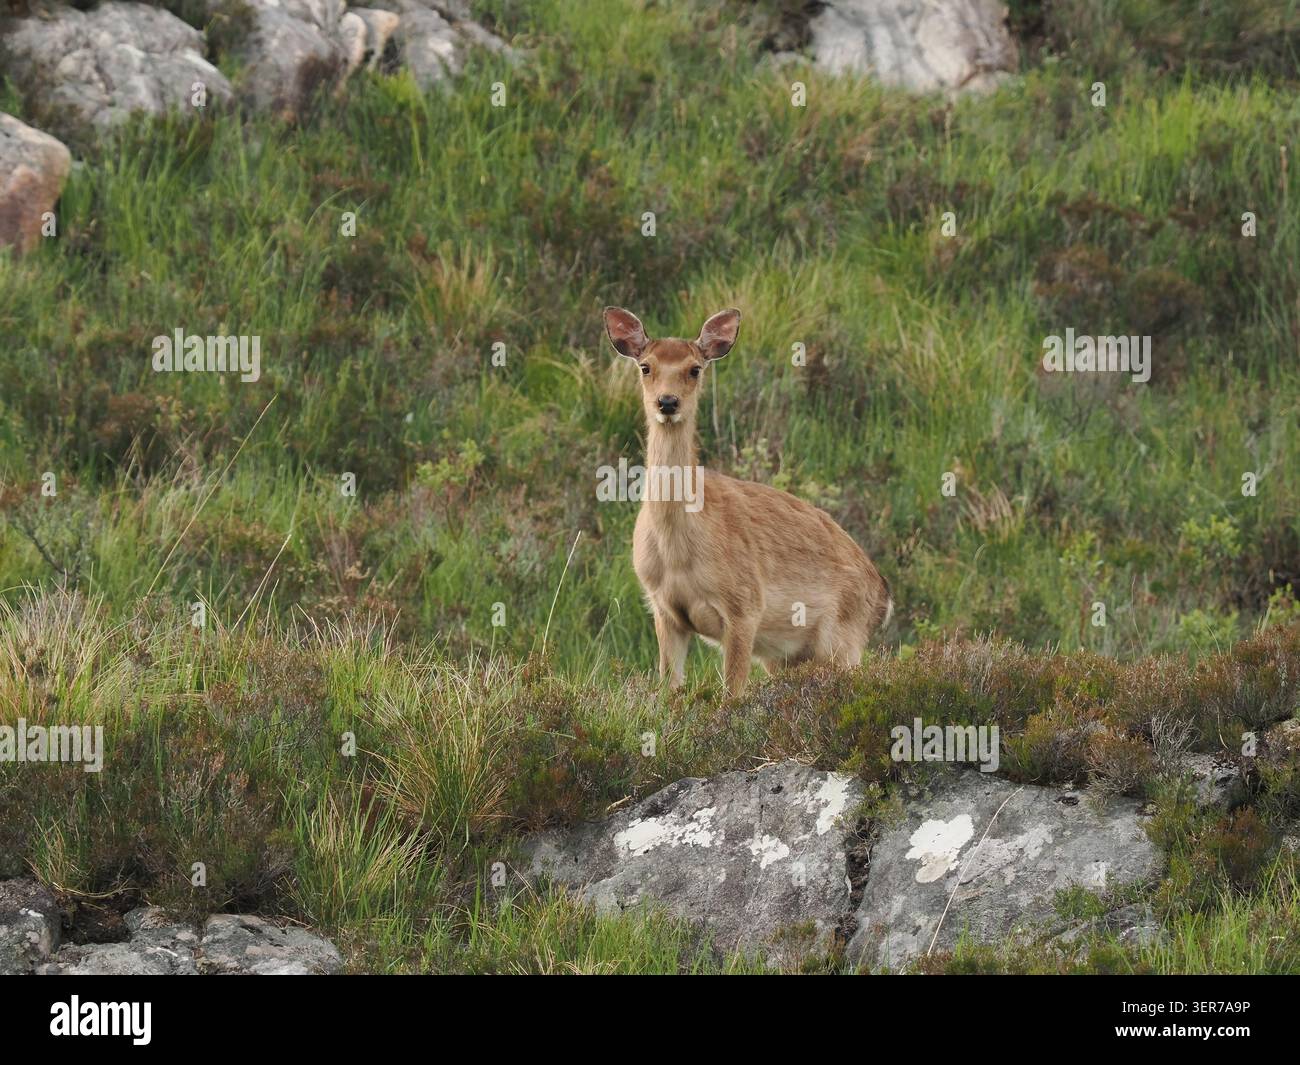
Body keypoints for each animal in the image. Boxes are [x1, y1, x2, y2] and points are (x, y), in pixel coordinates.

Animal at [603, 306, 892, 697]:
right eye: (645, 366)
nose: (667, 402)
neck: (680, 550)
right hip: (786, 656)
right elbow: (669, 688)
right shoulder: (663, 609)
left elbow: (732, 693)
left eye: (695, 368)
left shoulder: (745, 604)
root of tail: (883, 597)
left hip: (844, 637)